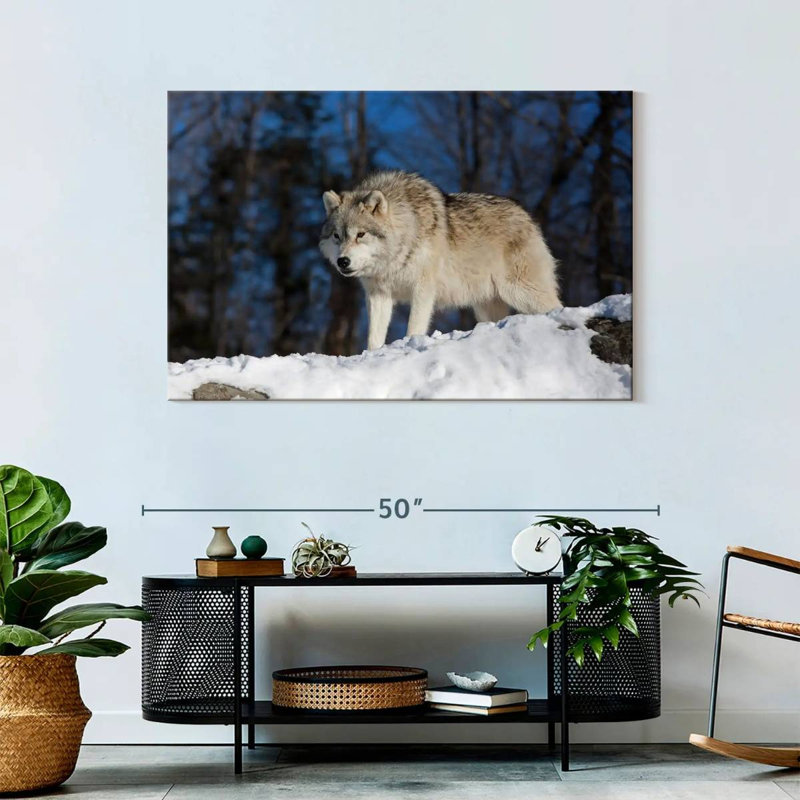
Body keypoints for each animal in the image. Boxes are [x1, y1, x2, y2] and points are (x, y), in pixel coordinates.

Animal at [319, 170, 560, 351]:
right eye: (337, 236)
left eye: (360, 235)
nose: (342, 261)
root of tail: (526, 215)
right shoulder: (378, 295)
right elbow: (374, 338)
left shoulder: (423, 289)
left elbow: (414, 327)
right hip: (486, 306)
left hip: (521, 292)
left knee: (555, 305)